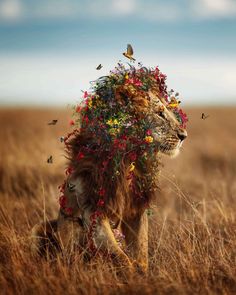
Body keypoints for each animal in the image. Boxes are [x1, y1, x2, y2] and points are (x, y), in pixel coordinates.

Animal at [30, 63, 188, 274]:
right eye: (159, 113)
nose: (184, 135)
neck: (128, 159)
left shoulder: (136, 209)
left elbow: (141, 251)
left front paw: (143, 274)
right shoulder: (93, 208)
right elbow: (117, 254)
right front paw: (131, 274)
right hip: (39, 229)